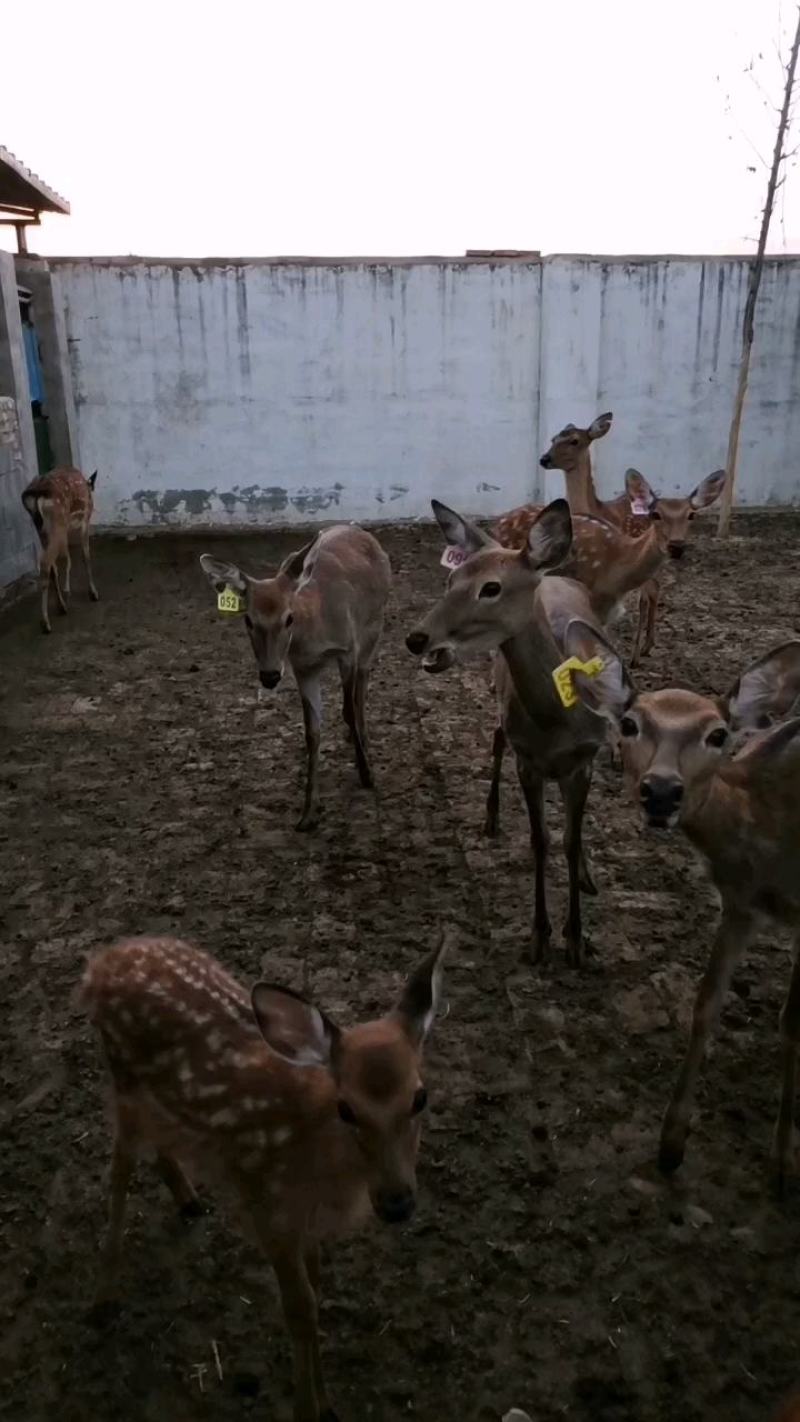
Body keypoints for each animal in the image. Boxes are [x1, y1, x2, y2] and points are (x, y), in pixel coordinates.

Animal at [21, 466, 99, 634]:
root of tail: (36, 494)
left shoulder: (66, 531)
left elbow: (67, 557)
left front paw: (67, 590)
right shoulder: (85, 521)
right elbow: (85, 556)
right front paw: (93, 593)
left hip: (43, 529)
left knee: (51, 566)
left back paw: (61, 606)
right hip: (57, 522)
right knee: (45, 563)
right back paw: (45, 622)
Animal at [83, 931, 448, 1422]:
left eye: (421, 1097)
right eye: (346, 1108)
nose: (397, 1202)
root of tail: (103, 961)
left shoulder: (307, 1222)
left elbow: (316, 1294)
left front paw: (327, 1405)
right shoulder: (268, 1207)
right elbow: (299, 1310)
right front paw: (307, 1409)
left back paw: (188, 1199)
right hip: (125, 1085)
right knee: (119, 1167)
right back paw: (103, 1297)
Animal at [200, 524, 391, 831]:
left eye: (289, 618)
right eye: (248, 620)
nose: (269, 675)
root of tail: (358, 529)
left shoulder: (347, 650)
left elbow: (349, 709)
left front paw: (367, 774)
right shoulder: (303, 669)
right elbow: (312, 732)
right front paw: (308, 812)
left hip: (375, 626)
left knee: (362, 682)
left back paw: (362, 737)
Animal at [406, 497, 614, 967]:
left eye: (491, 588)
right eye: (451, 579)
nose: (417, 638)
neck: (557, 722)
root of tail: (553, 576)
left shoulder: (586, 760)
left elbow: (570, 839)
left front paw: (577, 939)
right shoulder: (528, 761)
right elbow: (541, 840)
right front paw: (540, 936)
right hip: (498, 695)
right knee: (497, 739)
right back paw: (491, 817)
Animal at [559, 617, 800, 1187]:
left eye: (718, 733)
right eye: (628, 724)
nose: (662, 792)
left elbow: (794, 1021)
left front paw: (783, 1160)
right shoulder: (738, 905)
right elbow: (705, 1004)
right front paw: (671, 1144)